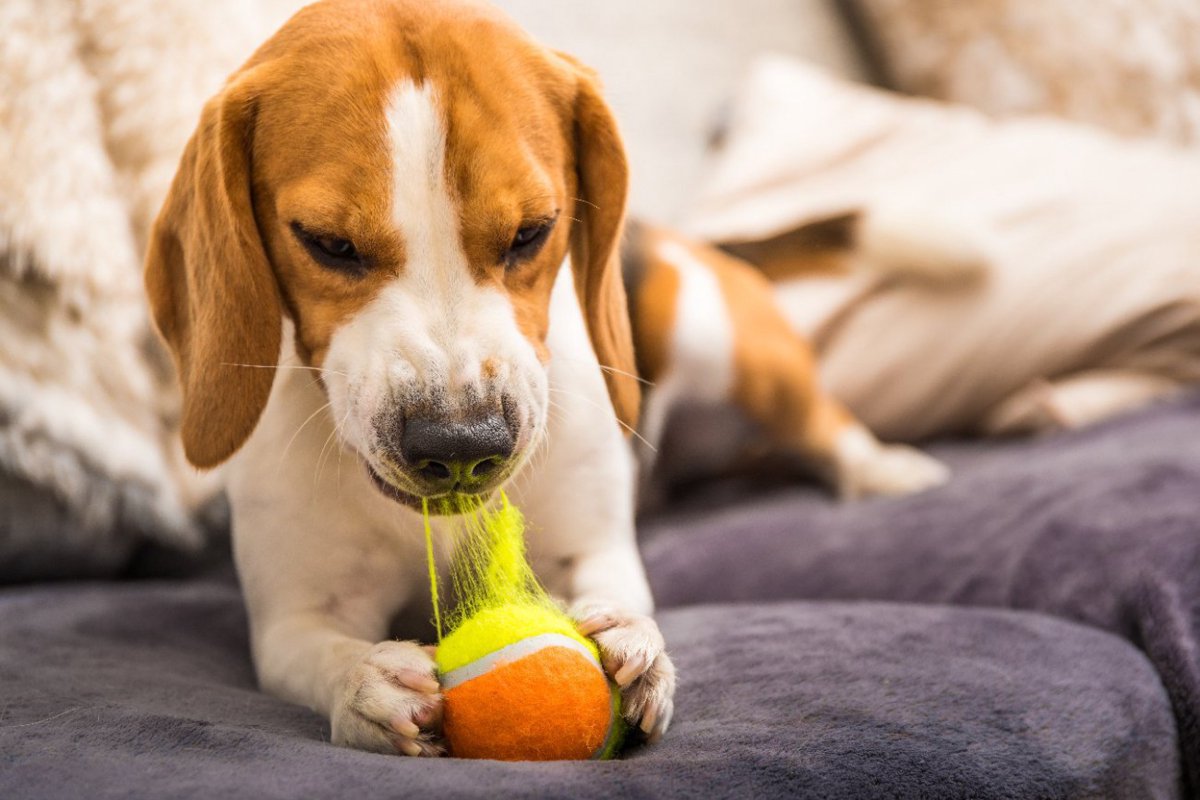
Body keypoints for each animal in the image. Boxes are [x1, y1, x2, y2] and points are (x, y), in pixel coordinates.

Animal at [142, 0, 964, 758]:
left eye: (533, 232)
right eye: (329, 244)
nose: (463, 446)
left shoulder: (590, 546)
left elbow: (615, 589)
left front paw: (636, 645)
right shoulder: (295, 616)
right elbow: (322, 653)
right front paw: (368, 685)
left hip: (718, 335)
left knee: (819, 419)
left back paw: (882, 469)